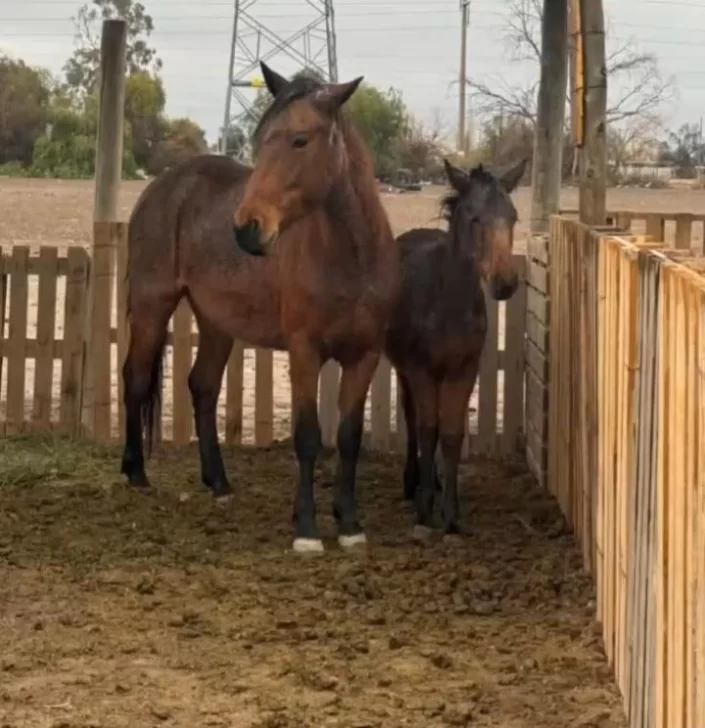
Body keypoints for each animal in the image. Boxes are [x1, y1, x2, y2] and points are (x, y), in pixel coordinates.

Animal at [121, 61, 399, 553]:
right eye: (260, 137)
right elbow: (307, 437)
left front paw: (348, 523)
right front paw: (306, 528)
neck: (351, 258)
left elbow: (349, 438)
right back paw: (135, 472)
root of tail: (163, 185)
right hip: (153, 306)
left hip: (216, 321)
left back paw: (218, 483)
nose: (247, 229)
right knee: (134, 378)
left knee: (202, 386)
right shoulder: (305, 353)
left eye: (300, 139)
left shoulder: (364, 357)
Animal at [385, 157, 526, 538]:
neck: (447, 303)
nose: (505, 282)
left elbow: (451, 434)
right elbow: (427, 429)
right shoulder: (421, 370)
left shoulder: (464, 371)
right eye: (474, 217)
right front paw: (424, 510)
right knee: (412, 416)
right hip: (403, 368)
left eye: (513, 216)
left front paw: (451, 513)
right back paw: (413, 481)